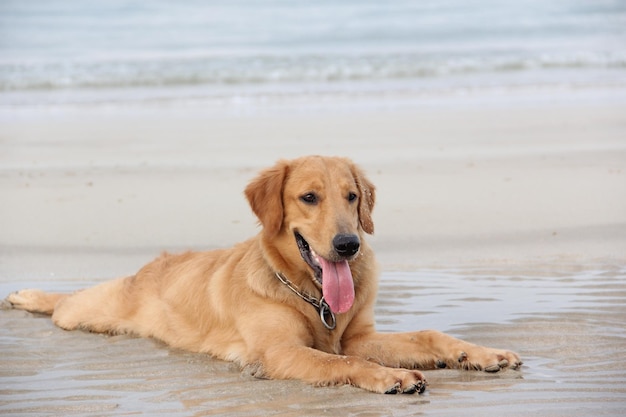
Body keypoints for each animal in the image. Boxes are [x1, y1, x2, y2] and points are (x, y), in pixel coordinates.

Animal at [7, 155, 520, 394]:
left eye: (352, 196)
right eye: (309, 197)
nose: (348, 245)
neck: (312, 295)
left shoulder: (356, 336)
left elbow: (428, 334)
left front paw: (480, 353)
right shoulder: (279, 352)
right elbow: (343, 363)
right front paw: (388, 376)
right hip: (91, 310)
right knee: (65, 302)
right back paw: (25, 296)